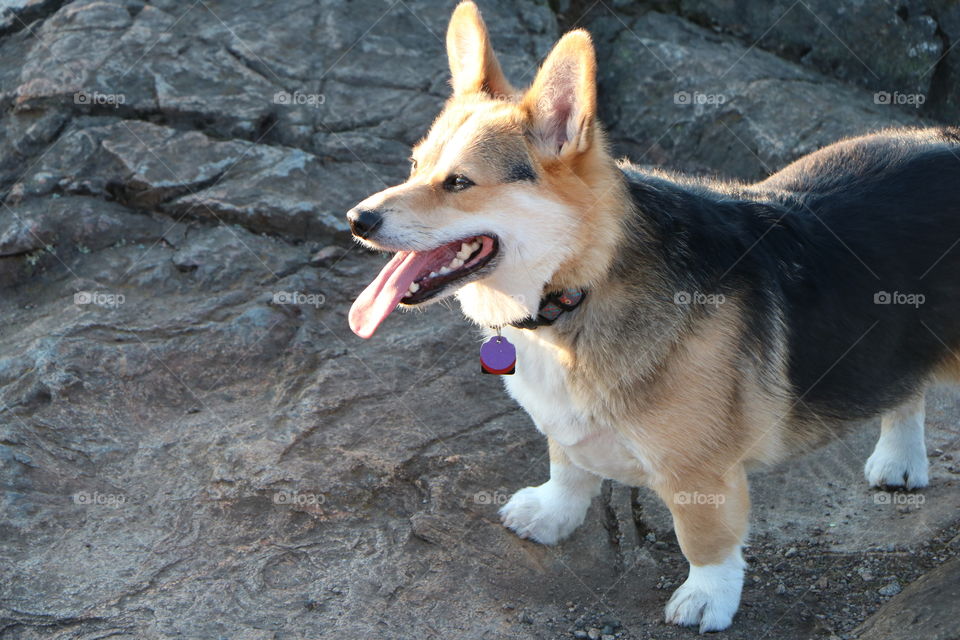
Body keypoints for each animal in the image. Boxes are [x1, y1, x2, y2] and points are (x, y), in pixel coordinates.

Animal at [342, 0, 956, 632]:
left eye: (459, 182)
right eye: (415, 165)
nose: (356, 219)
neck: (578, 287)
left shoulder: (699, 471)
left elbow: (704, 539)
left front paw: (707, 599)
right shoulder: (567, 423)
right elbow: (569, 466)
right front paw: (552, 515)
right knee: (903, 389)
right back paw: (899, 459)